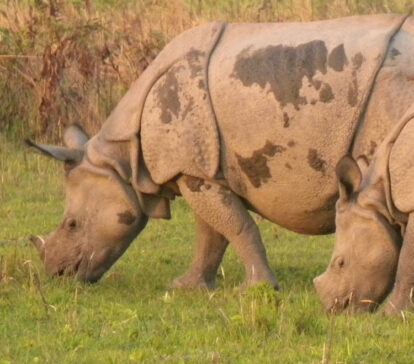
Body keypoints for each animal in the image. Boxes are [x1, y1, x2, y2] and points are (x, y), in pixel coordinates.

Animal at [27, 14, 414, 292]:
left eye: (72, 224)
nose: (57, 274)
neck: (120, 158)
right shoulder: (198, 171)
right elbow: (211, 232)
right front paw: (188, 287)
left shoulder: (191, 169)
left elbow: (237, 227)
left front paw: (256, 290)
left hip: (391, 89)